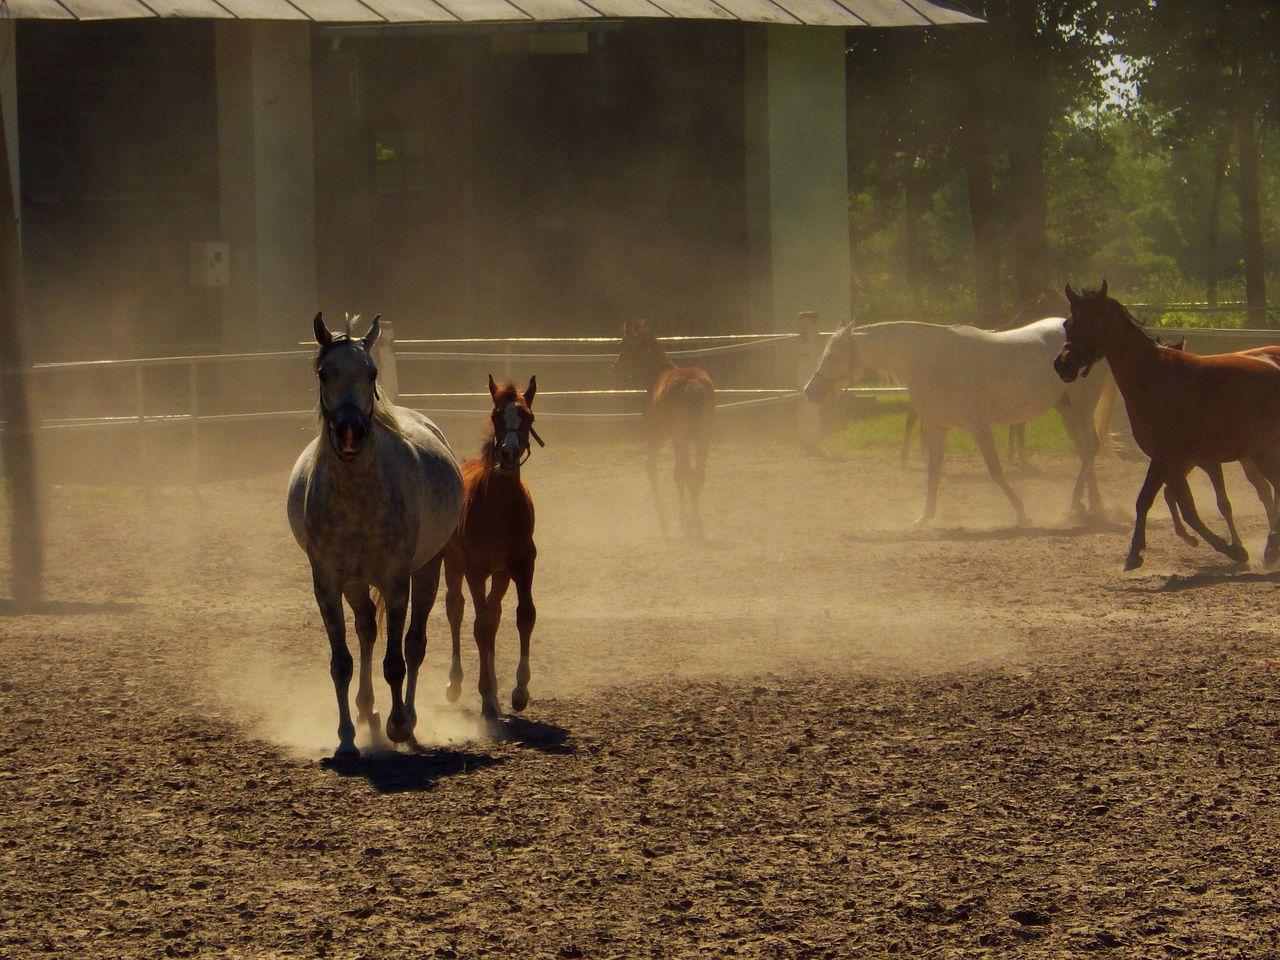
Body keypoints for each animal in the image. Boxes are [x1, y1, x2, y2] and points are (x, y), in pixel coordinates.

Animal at [290, 316, 465, 757]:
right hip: (355, 584)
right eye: (324, 373)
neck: (356, 497)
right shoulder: (327, 583)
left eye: (370, 373)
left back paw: (408, 722)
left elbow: (396, 661)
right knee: (367, 631)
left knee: (414, 644)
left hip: (427, 569)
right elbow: (342, 662)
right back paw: (366, 711)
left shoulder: (396, 580)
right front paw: (346, 738)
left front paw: (398, 723)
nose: (351, 431)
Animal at [445, 376, 540, 721]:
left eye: (528, 417)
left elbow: (524, 616)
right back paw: (455, 683)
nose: (509, 453)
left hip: (501, 575)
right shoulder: (475, 568)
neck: (499, 507)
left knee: (493, 613)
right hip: (453, 564)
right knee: (457, 609)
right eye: (497, 416)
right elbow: (480, 626)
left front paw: (519, 692)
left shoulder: (523, 564)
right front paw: (486, 695)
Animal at [611, 317, 716, 537]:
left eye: (622, 345)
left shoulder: (656, 433)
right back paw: (697, 525)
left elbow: (652, 467)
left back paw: (689, 524)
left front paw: (666, 523)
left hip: (680, 436)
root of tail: (693, 385)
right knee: (697, 474)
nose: (615, 367)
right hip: (703, 435)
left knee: (684, 473)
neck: (656, 375)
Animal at [803, 317, 1116, 527]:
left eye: (832, 355)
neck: (932, 361)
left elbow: (995, 471)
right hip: (1066, 408)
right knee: (1085, 450)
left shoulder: (978, 426)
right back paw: (1092, 508)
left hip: (1082, 406)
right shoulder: (935, 427)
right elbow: (933, 472)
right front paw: (924, 517)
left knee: (1090, 448)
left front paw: (1021, 512)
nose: (809, 391)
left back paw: (1074, 506)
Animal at [1054, 284, 1280, 570]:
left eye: (1092, 322)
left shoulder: (1171, 457)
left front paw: (1233, 550)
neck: (1155, 376)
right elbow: (1156, 501)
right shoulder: (1169, 460)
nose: (1062, 365)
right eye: (1067, 323)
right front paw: (1135, 553)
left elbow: (1183, 506)